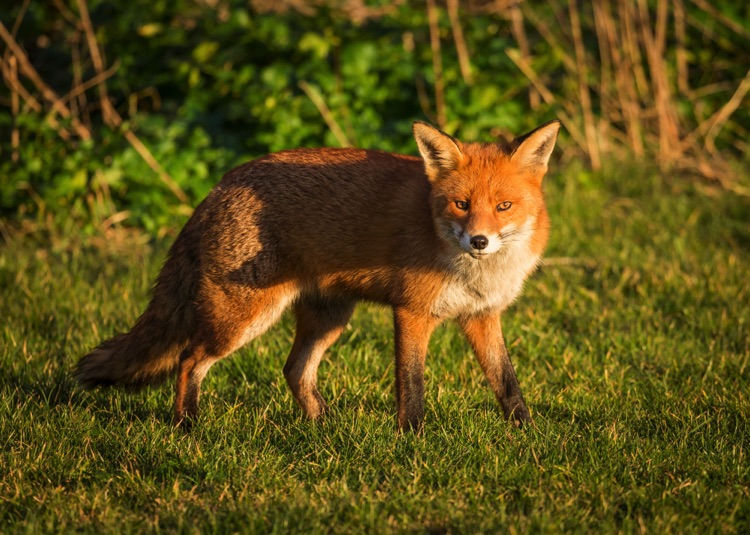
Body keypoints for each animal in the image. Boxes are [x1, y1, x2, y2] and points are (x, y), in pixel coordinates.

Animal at [75, 119, 561, 431]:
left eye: (504, 206)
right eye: (461, 204)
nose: (478, 241)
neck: (476, 272)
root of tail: (217, 187)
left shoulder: (482, 316)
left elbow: (507, 382)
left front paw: (526, 434)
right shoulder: (412, 312)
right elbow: (412, 385)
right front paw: (411, 439)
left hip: (330, 318)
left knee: (293, 369)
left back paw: (323, 426)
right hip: (242, 318)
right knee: (189, 359)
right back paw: (186, 427)